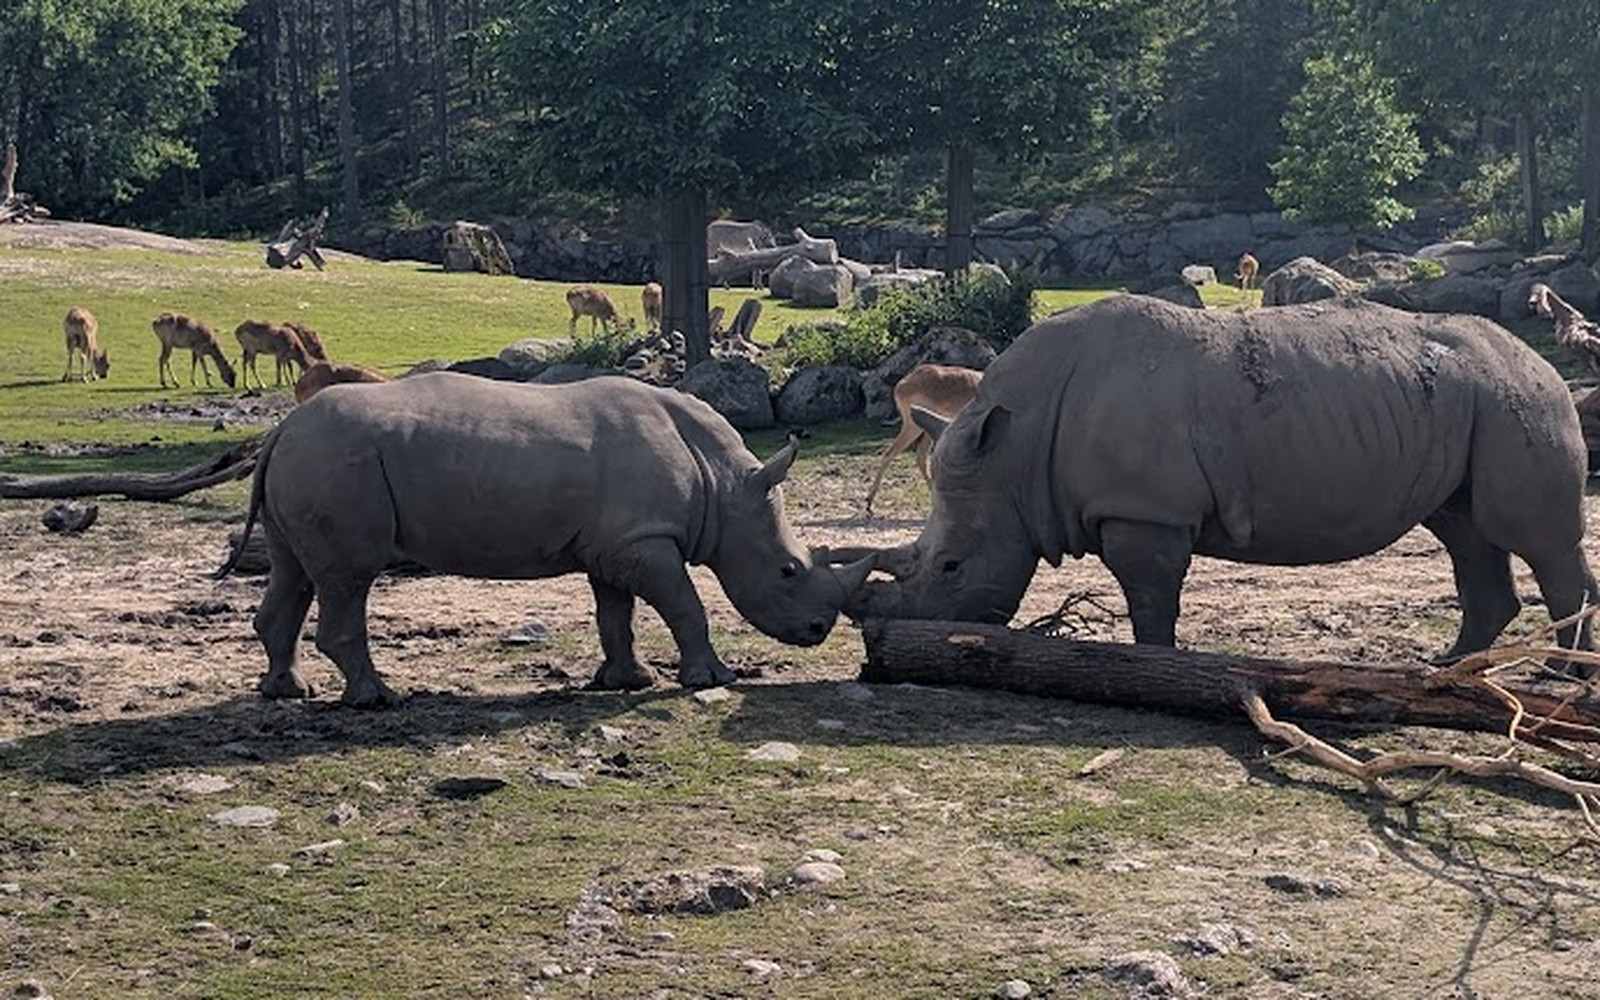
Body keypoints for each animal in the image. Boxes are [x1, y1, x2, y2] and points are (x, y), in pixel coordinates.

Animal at [220, 372, 872, 707]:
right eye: (788, 570)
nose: (818, 632)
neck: (726, 485)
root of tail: (280, 429)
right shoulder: (643, 540)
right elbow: (686, 606)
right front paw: (713, 681)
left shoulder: (615, 547)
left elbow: (616, 616)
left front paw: (627, 682)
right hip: (336, 461)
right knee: (348, 578)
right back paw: (378, 698)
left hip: (311, 459)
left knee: (295, 572)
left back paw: (287, 692)